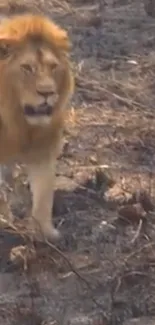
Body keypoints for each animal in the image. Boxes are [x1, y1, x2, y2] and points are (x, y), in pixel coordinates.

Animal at [0, 13, 74, 240]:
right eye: (27, 68)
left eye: (53, 67)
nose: (47, 92)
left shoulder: (44, 149)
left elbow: (44, 196)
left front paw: (46, 234)